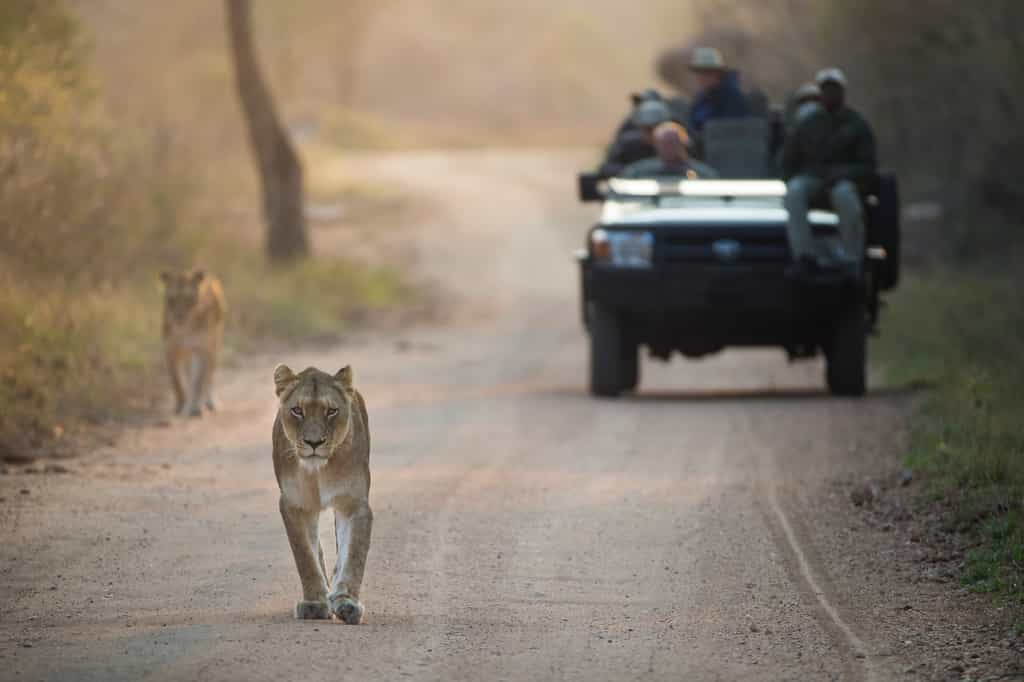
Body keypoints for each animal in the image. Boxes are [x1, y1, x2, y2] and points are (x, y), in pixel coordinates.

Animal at [160, 269, 226, 417]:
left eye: (188, 300)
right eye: (171, 299)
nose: (179, 316)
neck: (186, 327)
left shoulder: (201, 349)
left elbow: (199, 381)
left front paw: (195, 408)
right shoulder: (170, 349)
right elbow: (176, 381)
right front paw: (180, 405)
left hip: (214, 344)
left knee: (209, 375)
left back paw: (208, 402)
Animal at [272, 364, 372, 623]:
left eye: (331, 411)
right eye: (297, 410)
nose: (314, 442)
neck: (318, 471)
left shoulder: (355, 504)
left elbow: (353, 555)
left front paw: (347, 602)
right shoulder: (295, 505)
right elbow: (305, 556)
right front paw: (315, 603)